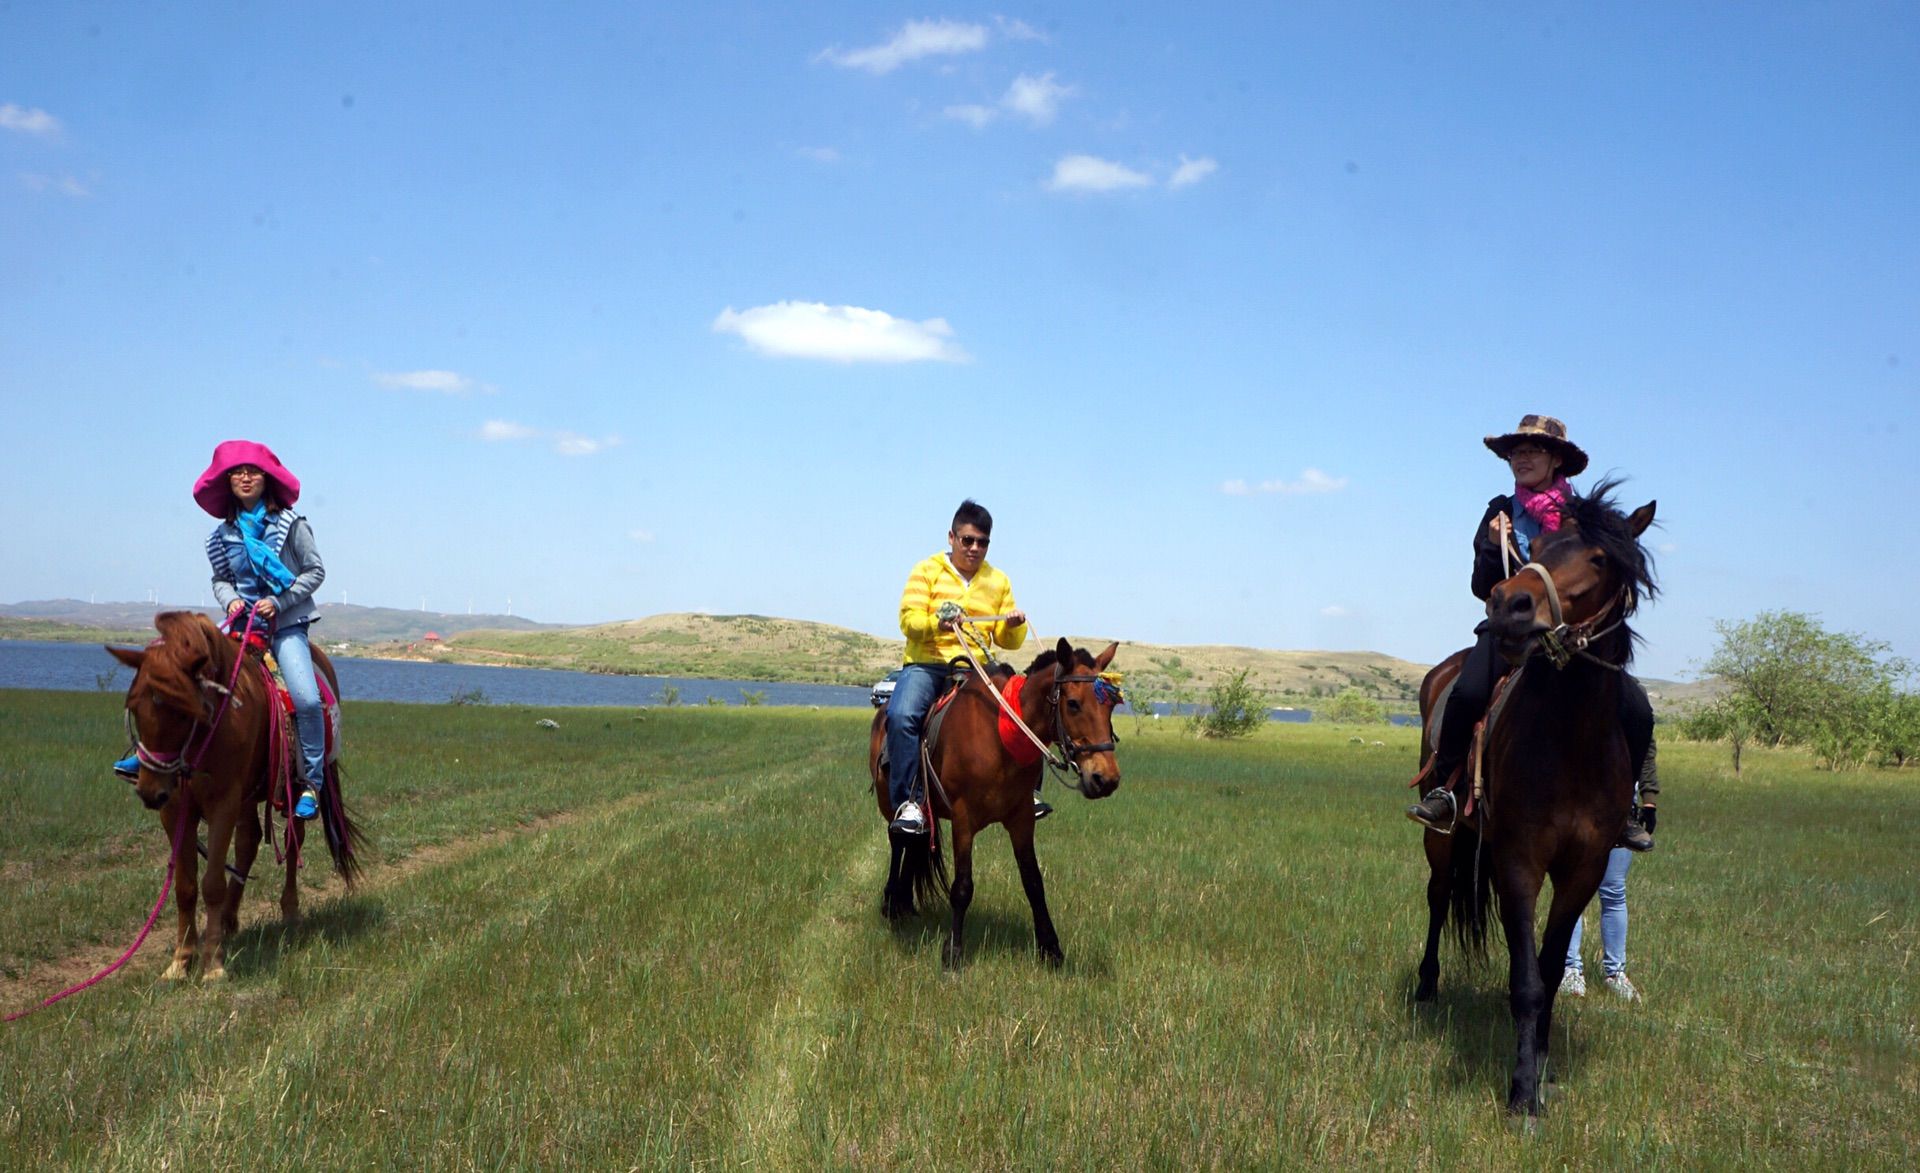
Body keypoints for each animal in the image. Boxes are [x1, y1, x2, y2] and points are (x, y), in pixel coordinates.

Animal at [108, 606, 360, 982]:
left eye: (183, 711)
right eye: (135, 706)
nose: (151, 792)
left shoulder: (222, 804)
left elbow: (211, 883)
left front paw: (212, 964)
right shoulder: (176, 810)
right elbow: (185, 887)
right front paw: (181, 961)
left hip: (289, 788)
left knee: (291, 840)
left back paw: (289, 911)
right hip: (246, 797)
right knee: (249, 841)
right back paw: (228, 919)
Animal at [871, 637, 1121, 967]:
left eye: (1110, 706)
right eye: (1073, 703)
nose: (1106, 778)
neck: (999, 736)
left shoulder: (1022, 819)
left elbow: (1034, 883)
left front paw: (1050, 949)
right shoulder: (963, 820)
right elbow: (962, 887)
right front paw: (953, 952)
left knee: (915, 843)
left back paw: (906, 904)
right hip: (889, 802)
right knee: (899, 841)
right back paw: (891, 902)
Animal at [1405, 479, 1658, 1121]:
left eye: (1601, 559)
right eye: (1537, 546)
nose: (1508, 606)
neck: (1570, 739)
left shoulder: (1583, 868)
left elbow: (1547, 968)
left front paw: (1539, 1062)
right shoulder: (1519, 860)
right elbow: (1526, 982)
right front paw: (1521, 1093)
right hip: (1441, 838)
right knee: (1438, 899)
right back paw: (1426, 985)